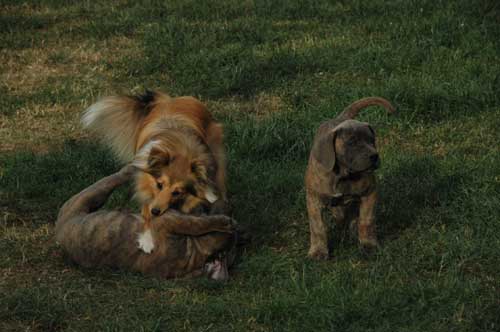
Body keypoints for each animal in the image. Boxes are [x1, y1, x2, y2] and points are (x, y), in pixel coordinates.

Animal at [82, 89, 229, 253]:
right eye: (159, 185)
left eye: (177, 192)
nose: (156, 212)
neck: (178, 150)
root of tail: (169, 100)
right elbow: (146, 210)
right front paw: (147, 239)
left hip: (216, 151)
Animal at [304, 97, 394, 260]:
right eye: (352, 142)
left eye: (372, 140)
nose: (374, 156)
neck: (343, 175)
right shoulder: (313, 199)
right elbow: (318, 227)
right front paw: (318, 251)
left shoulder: (369, 193)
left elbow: (366, 220)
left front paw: (368, 244)